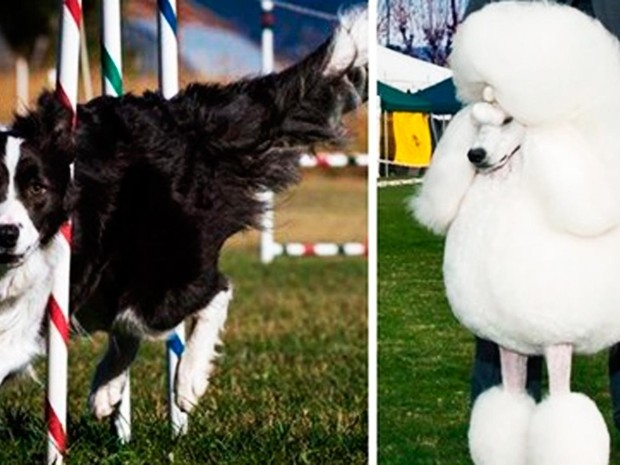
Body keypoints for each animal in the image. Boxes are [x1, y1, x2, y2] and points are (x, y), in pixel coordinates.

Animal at [0, 9, 368, 418]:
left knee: (210, 292)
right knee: (125, 323)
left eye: (37, 189)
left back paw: (188, 381)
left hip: (160, 267)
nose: (7, 233)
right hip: (104, 278)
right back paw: (106, 391)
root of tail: (184, 120)